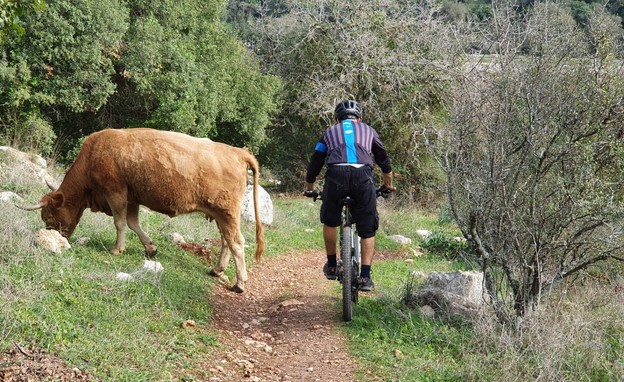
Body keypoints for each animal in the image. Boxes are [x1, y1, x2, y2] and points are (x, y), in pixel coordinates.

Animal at [21, 128, 264, 292]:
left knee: (236, 242)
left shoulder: (115, 191)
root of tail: (238, 152)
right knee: (226, 241)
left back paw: (240, 283)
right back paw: (217, 270)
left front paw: (117, 249)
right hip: (220, 214)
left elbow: (120, 222)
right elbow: (132, 223)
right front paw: (150, 248)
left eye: (47, 215)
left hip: (226, 212)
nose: (55, 236)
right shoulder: (132, 197)